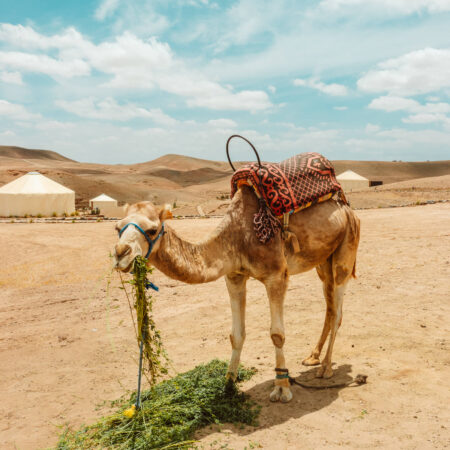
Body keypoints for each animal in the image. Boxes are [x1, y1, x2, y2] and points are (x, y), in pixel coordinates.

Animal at [114, 185, 360, 402]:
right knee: (330, 307)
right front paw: (228, 384)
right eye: (118, 228)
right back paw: (313, 357)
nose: (120, 253)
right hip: (323, 261)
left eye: (152, 230)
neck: (238, 236)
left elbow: (277, 334)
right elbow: (236, 335)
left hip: (346, 250)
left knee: (337, 311)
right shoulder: (234, 276)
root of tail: (348, 210)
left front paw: (282, 387)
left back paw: (326, 368)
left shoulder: (277, 276)